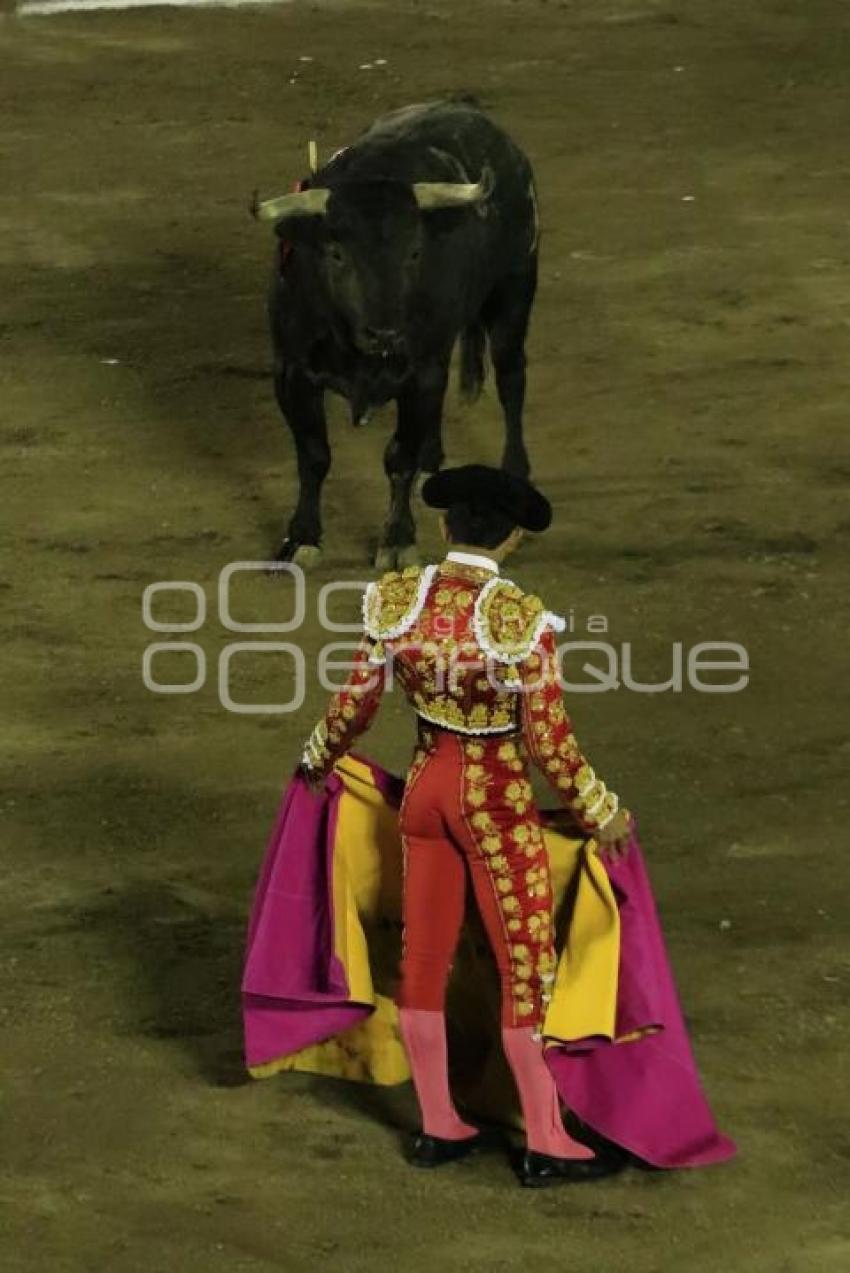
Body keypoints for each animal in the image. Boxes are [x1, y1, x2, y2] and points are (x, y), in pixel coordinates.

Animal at [255, 101, 542, 570]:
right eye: (336, 253)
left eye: (415, 252)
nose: (385, 332)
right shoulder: (291, 374)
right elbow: (314, 456)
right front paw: (302, 537)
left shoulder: (420, 374)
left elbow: (398, 458)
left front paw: (396, 539)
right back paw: (433, 456)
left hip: (514, 290)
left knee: (511, 380)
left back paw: (514, 472)